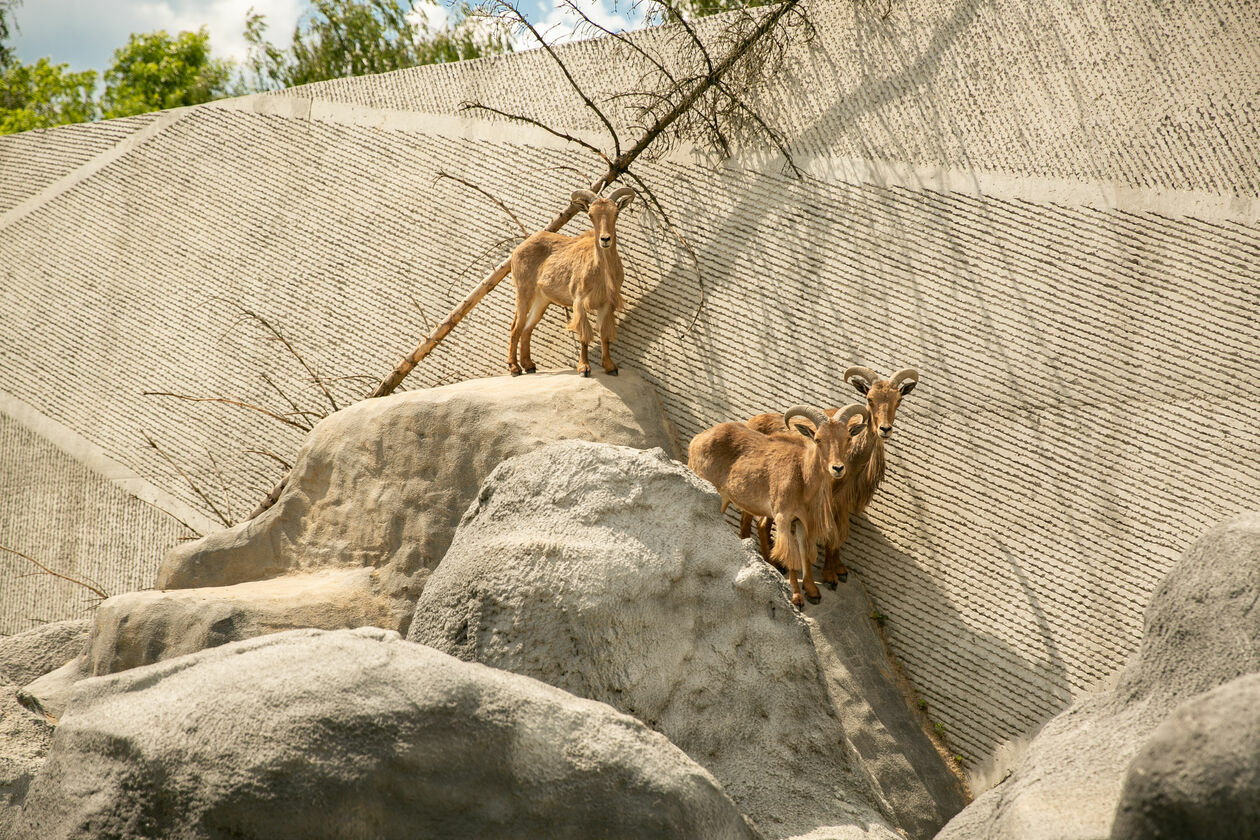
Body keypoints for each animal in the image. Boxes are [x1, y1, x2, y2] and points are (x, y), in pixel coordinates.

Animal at [504, 188, 635, 380]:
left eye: (616, 213)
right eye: (590, 214)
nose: (605, 239)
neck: (601, 272)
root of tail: (517, 250)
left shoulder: (605, 303)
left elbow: (604, 334)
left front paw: (610, 367)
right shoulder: (579, 301)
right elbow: (583, 335)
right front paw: (584, 368)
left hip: (542, 299)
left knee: (527, 327)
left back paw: (529, 365)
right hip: (524, 292)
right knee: (516, 326)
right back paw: (514, 368)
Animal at [685, 402, 871, 607]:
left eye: (847, 438)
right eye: (818, 439)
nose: (837, 468)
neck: (802, 476)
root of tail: (697, 439)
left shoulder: (802, 521)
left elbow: (804, 553)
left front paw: (812, 591)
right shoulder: (783, 518)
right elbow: (790, 556)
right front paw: (796, 597)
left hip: (724, 497)